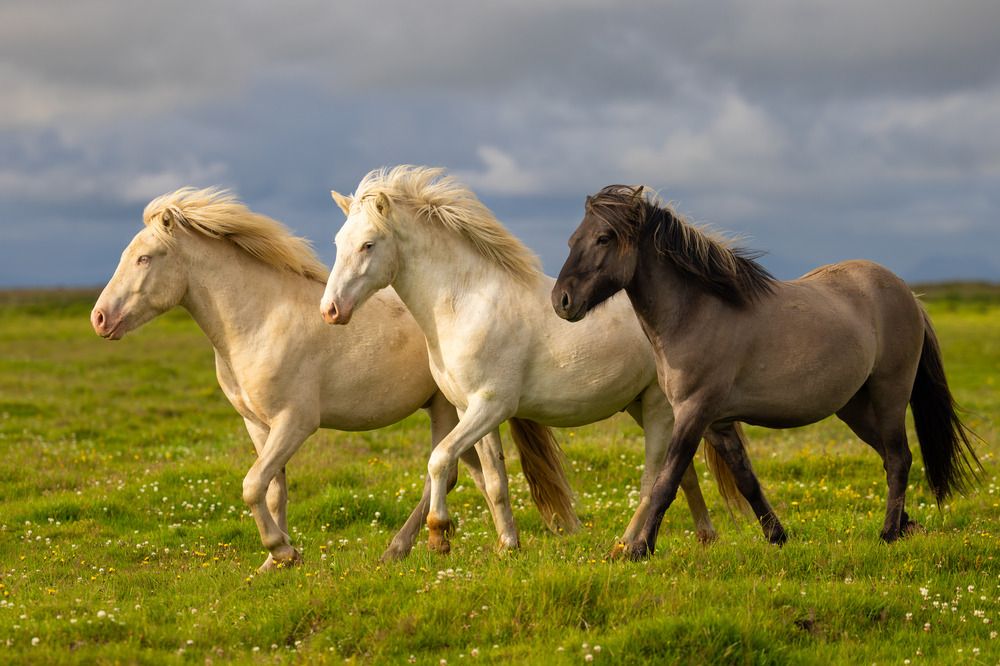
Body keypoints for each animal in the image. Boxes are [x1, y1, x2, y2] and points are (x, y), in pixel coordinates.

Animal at [90, 187, 576, 570]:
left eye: (144, 258)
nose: (99, 319)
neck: (259, 318)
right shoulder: (258, 425)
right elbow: (273, 491)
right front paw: (275, 562)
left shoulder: (295, 422)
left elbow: (252, 485)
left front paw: (282, 551)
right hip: (455, 408)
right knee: (471, 472)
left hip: (452, 408)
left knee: (447, 470)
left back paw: (406, 547)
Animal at [320, 165, 765, 556]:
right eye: (339, 242)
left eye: (368, 244)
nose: (331, 310)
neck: (466, 303)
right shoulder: (468, 409)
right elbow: (495, 481)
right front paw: (507, 547)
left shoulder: (490, 406)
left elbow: (439, 458)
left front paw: (438, 536)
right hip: (643, 406)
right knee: (684, 472)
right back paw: (703, 537)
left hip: (658, 406)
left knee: (654, 475)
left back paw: (627, 546)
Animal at [553, 184, 982, 560]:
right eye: (572, 239)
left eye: (604, 238)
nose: (562, 301)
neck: (697, 312)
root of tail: (908, 294)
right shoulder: (716, 422)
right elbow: (746, 480)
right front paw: (777, 536)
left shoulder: (693, 412)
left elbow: (666, 480)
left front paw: (639, 550)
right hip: (855, 407)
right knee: (893, 457)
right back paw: (905, 524)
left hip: (889, 395)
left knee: (897, 459)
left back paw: (889, 533)